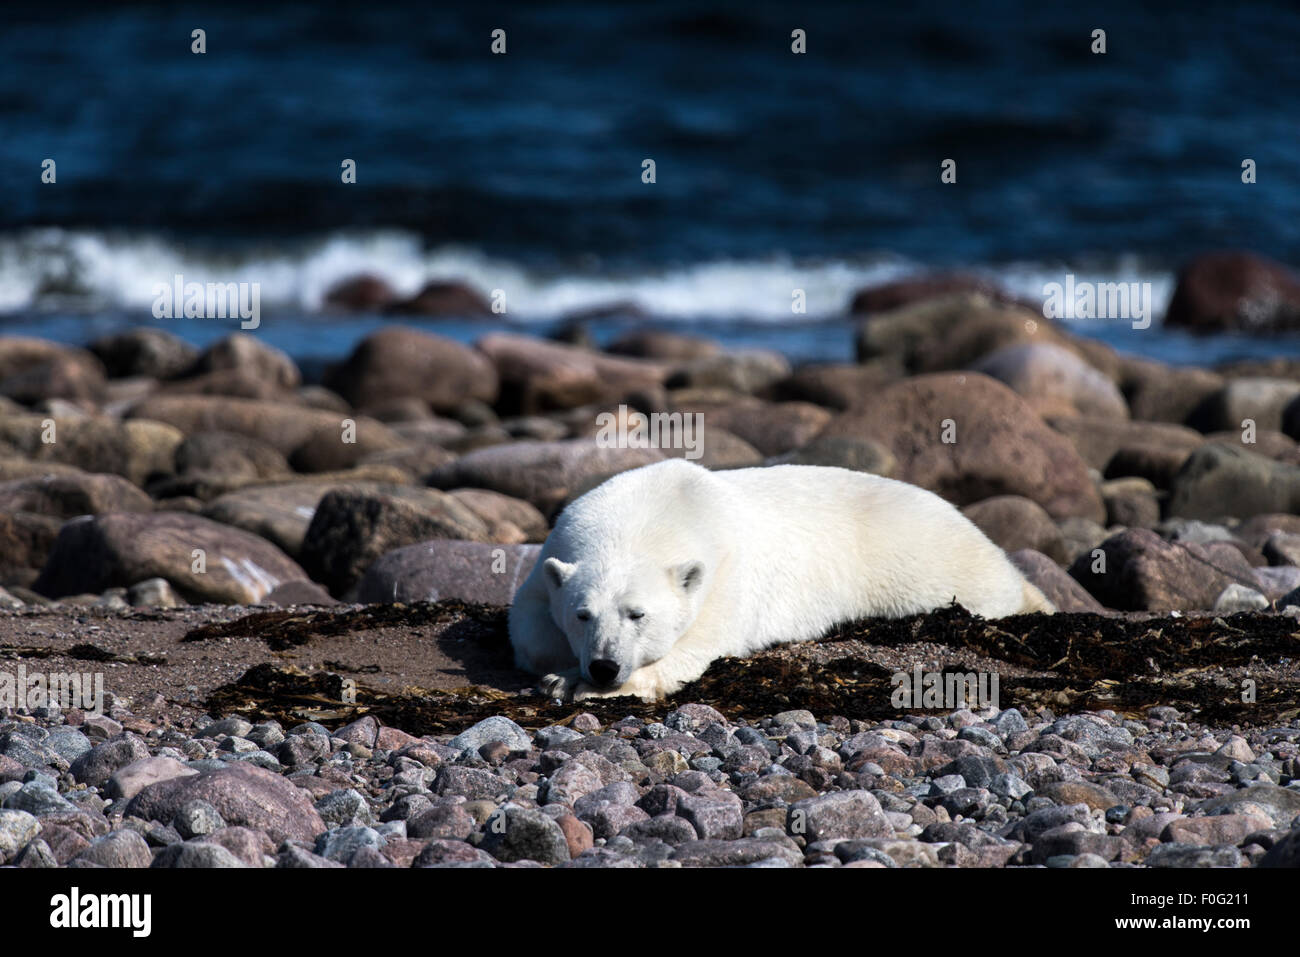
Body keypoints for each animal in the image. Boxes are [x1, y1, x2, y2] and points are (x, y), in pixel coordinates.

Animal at [506, 460, 1055, 696]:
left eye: (637, 614)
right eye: (583, 614)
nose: (603, 666)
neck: (649, 515)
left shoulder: (723, 570)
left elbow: (700, 644)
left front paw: (599, 684)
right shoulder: (558, 543)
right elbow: (530, 623)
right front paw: (561, 673)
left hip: (923, 559)